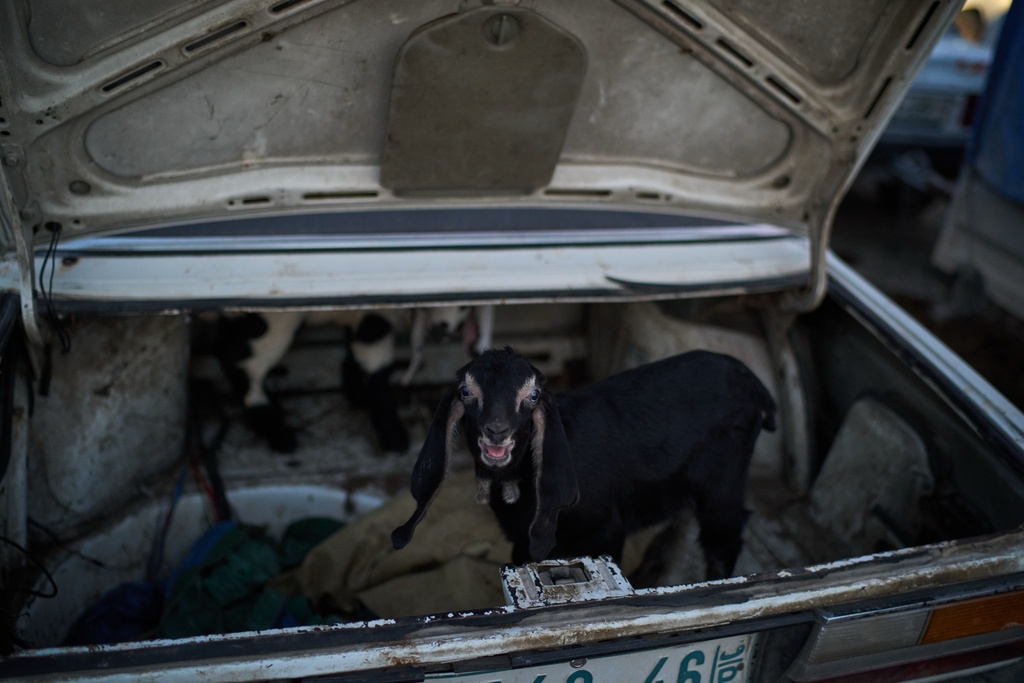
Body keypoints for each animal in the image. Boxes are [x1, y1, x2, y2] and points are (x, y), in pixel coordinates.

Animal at [392, 347, 776, 579]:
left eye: (533, 395)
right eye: (466, 392)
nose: (497, 432)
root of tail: (755, 383)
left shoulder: (605, 532)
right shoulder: (523, 539)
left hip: (723, 478)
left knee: (723, 536)